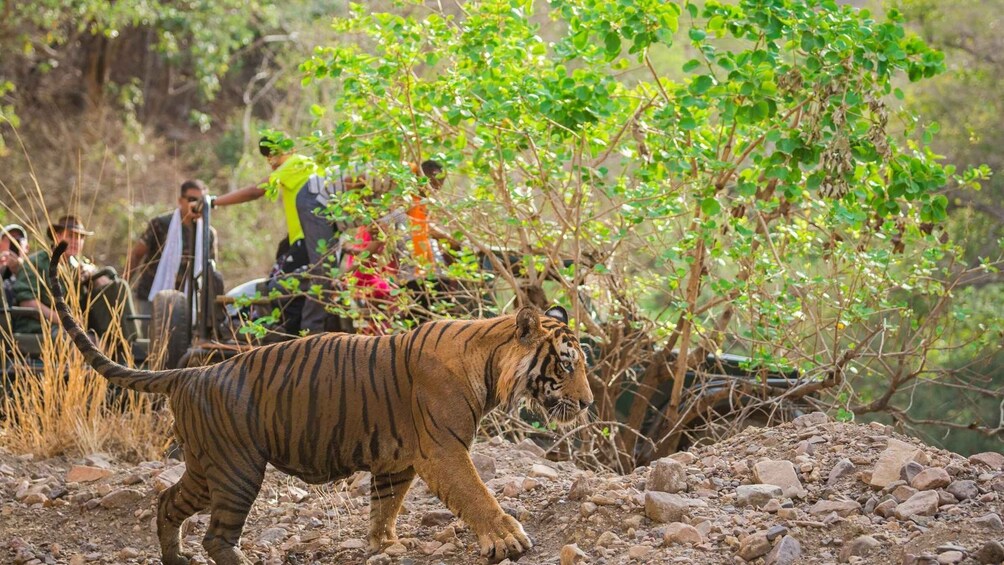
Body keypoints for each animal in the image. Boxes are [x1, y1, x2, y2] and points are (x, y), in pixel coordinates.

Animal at [47, 241, 594, 565]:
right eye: (567, 364)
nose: (589, 403)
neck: (489, 358)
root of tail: (190, 371)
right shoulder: (443, 450)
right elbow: (477, 495)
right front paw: (509, 539)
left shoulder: (397, 461)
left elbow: (385, 506)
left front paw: (384, 545)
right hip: (238, 468)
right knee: (218, 536)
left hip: (206, 467)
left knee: (167, 503)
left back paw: (175, 559)